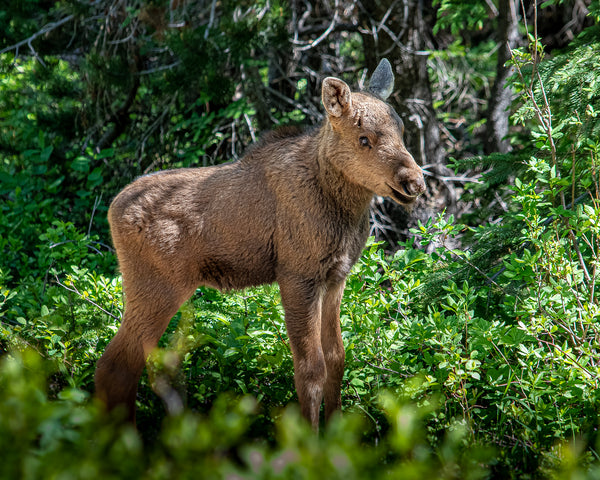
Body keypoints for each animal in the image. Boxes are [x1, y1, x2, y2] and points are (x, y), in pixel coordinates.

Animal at [95, 58, 426, 430]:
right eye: (364, 138)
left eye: (402, 130)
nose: (415, 182)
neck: (344, 211)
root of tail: (112, 210)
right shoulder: (297, 275)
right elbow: (310, 369)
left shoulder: (336, 276)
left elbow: (336, 359)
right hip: (156, 287)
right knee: (116, 367)